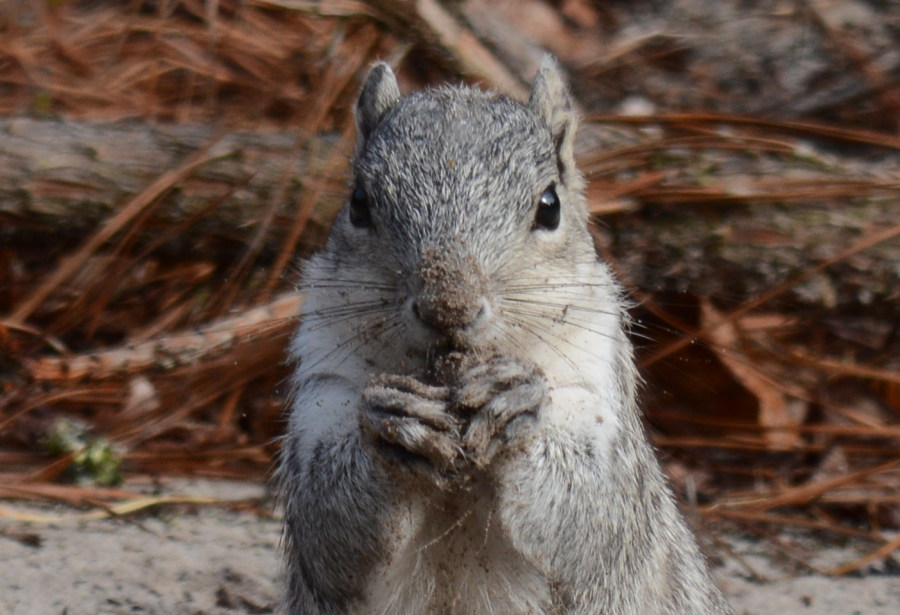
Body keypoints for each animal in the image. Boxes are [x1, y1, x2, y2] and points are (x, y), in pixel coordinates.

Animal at [276, 55, 732, 612]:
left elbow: (596, 519)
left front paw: (516, 403)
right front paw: (391, 421)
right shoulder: (323, 392)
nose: (449, 307)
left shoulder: (598, 394)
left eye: (550, 206)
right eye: (359, 203)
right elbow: (326, 531)